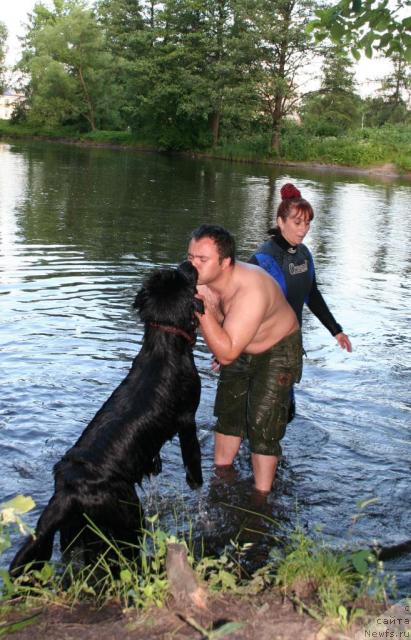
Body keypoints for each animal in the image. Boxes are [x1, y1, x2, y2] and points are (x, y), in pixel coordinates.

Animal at [9, 260, 203, 576]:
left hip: (75, 531)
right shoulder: (188, 417)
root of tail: (67, 491)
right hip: (129, 514)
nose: (188, 262)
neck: (164, 344)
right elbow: (193, 455)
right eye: (182, 274)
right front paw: (197, 484)